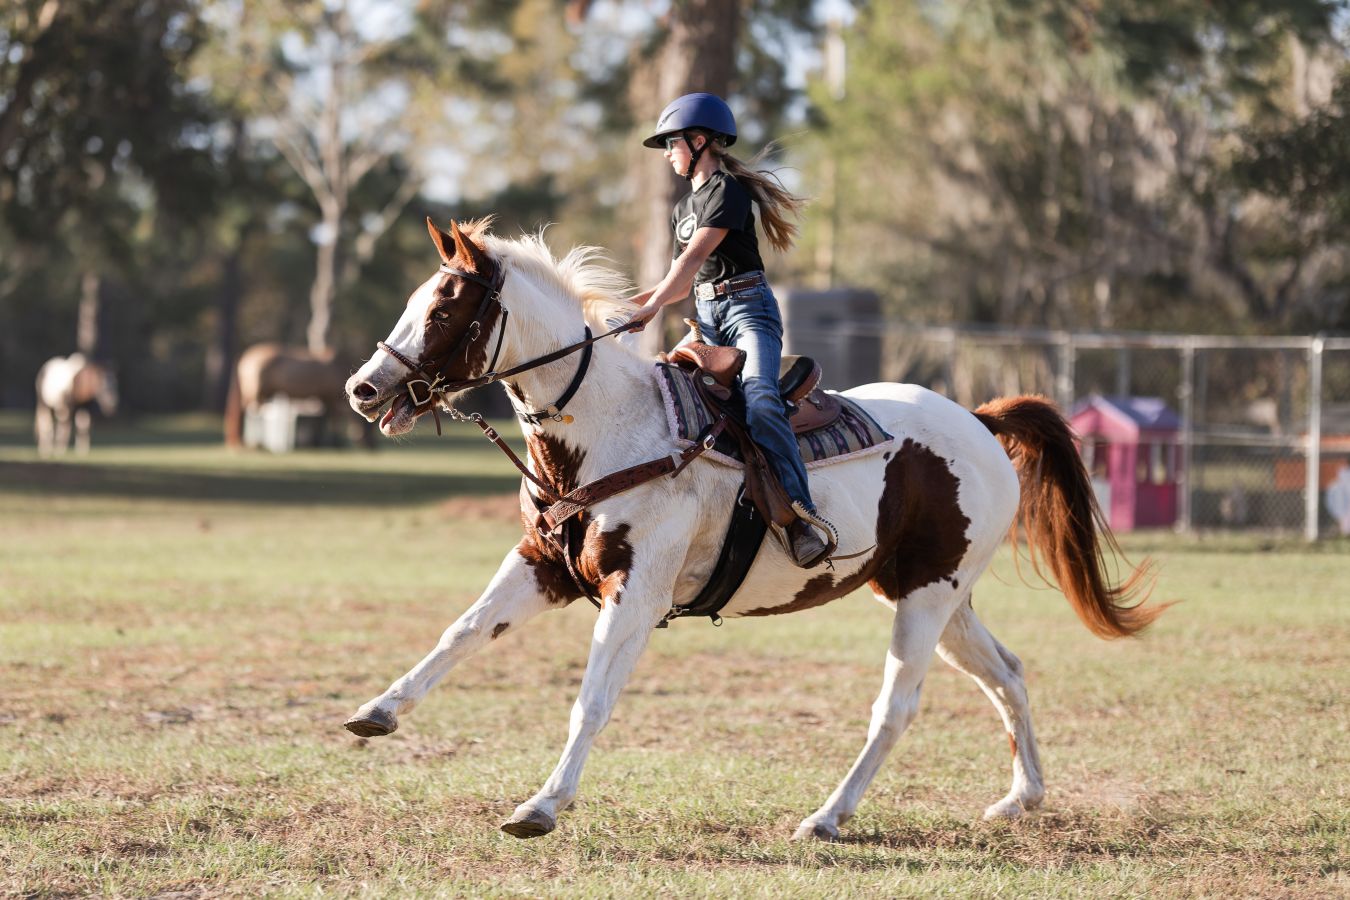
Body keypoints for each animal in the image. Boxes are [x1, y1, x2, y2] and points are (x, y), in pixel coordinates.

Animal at [226, 341, 364, 447]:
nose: (367, 445)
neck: (337, 367)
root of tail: (245, 358)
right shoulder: (331, 399)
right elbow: (334, 421)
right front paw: (334, 442)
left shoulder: (324, 400)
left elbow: (324, 421)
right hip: (256, 394)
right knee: (245, 413)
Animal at [334, 218, 1161, 847]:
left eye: (445, 310)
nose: (363, 389)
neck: (611, 430)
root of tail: (982, 422)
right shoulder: (543, 565)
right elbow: (464, 630)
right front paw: (377, 712)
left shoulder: (634, 594)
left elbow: (591, 700)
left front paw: (540, 806)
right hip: (932, 594)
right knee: (1007, 672)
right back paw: (1023, 797)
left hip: (927, 598)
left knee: (896, 706)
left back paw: (827, 818)